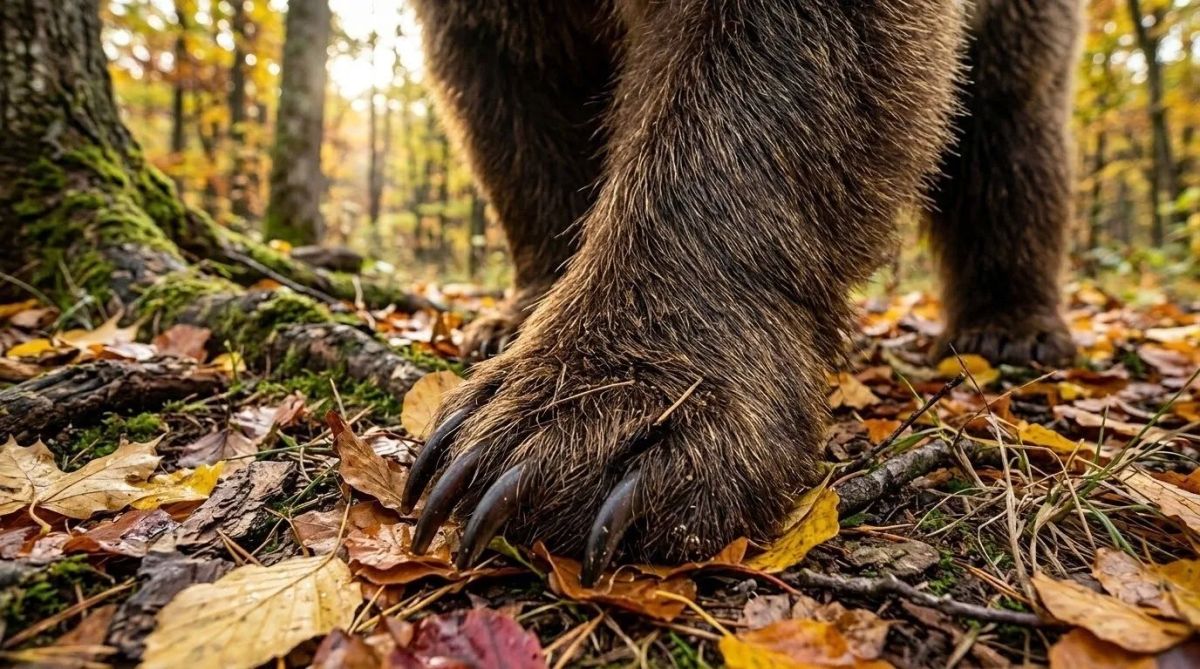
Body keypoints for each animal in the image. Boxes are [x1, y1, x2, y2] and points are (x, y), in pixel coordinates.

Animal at [401, 0, 1080, 584]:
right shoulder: (491, 28)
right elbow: (520, 102)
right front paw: (516, 324)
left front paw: (579, 436)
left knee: (1011, 119)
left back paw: (1010, 328)